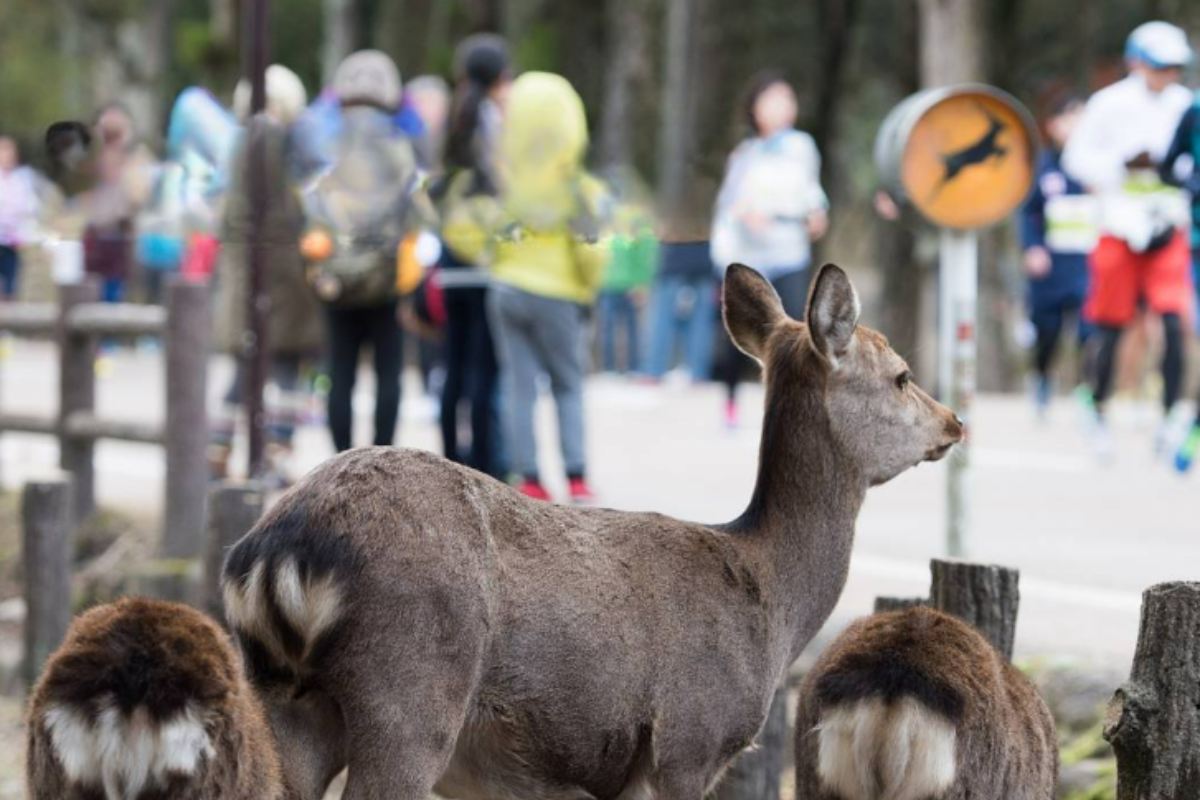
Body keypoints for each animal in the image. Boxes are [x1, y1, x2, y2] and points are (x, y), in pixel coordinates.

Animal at [220, 262, 964, 800]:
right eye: (901, 376)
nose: (955, 421)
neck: (773, 604)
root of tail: (275, 552)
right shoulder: (689, 738)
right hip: (410, 685)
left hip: (283, 696)